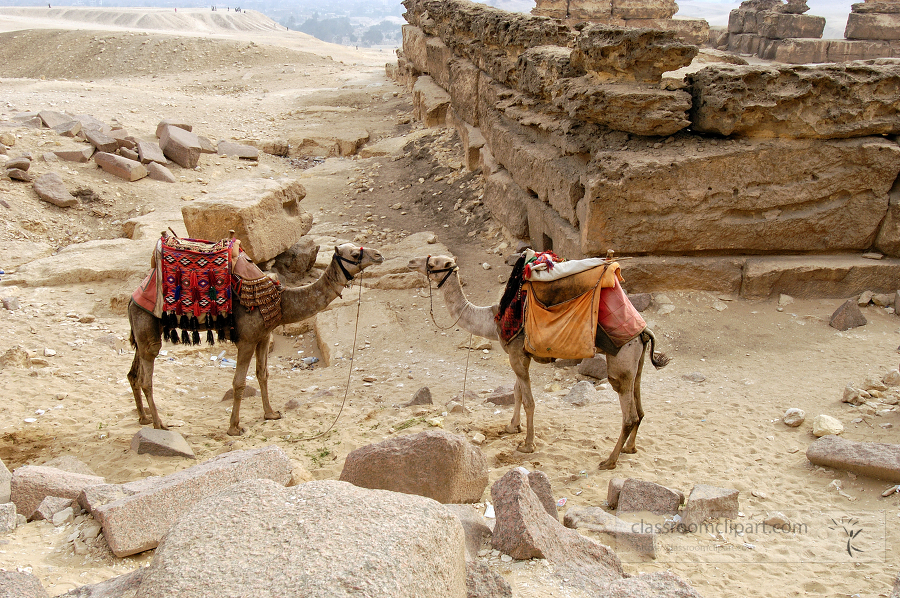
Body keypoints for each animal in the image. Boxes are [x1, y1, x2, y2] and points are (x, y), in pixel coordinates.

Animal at [128, 243, 382, 436]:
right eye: (354, 254)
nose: (379, 255)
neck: (280, 301)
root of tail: (133, 297)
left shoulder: (263, 336)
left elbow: (263, 375)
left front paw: (271, 414)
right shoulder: (247, 339)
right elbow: (239, 383)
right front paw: (234, 428)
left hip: (142, 332)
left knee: (133, 373)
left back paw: (143, 417)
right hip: (147, 324)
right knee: (146, 377)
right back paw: (159, 424)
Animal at [408, 253, 668, 474]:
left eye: (434, 263)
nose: (412, 262)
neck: (493, 318)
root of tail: (644, 331)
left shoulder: (517, 354)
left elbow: (529, 401)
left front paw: (527, 444)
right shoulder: (518, 354)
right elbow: (517, 392)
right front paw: (512, 427)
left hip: (621, 361)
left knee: (628, 412)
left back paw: (609, 461)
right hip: (636, 361)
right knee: (639, 404)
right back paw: (630, 448)